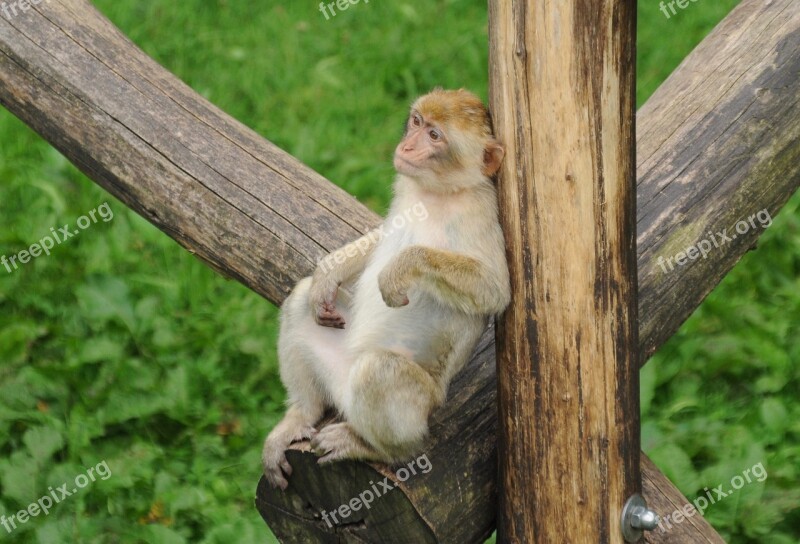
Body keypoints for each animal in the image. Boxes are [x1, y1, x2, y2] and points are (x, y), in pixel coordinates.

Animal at [264, 88, 512, 488]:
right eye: (417, 122)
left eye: (435, 136)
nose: (407, 146)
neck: (437, 192)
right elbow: (381, 236)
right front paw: (329, 273)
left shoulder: (480, 210)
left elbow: (495, 290)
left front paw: (402, 267)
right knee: (301, 302)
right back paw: (302, 414)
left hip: (421, 403)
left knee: (380, 370)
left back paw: (377, 449)